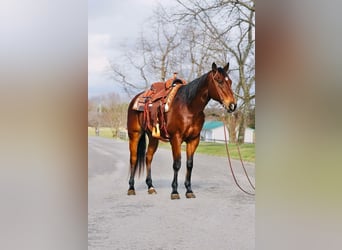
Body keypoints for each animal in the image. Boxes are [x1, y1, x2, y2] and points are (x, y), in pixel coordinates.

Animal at [127, 62, 236, 199]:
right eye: (219, 81)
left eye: (230, 82)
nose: (232, 105)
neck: (189, 107)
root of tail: (135, 99)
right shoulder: (176, 138)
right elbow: (177, 163)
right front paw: (174, 191)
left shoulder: (194, 140)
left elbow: (189, 164)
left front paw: (189, 190)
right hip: (134, 135)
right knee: (133, 158)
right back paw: (131, 188)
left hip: (152, 137)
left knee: (148, 157)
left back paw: (151, 187)